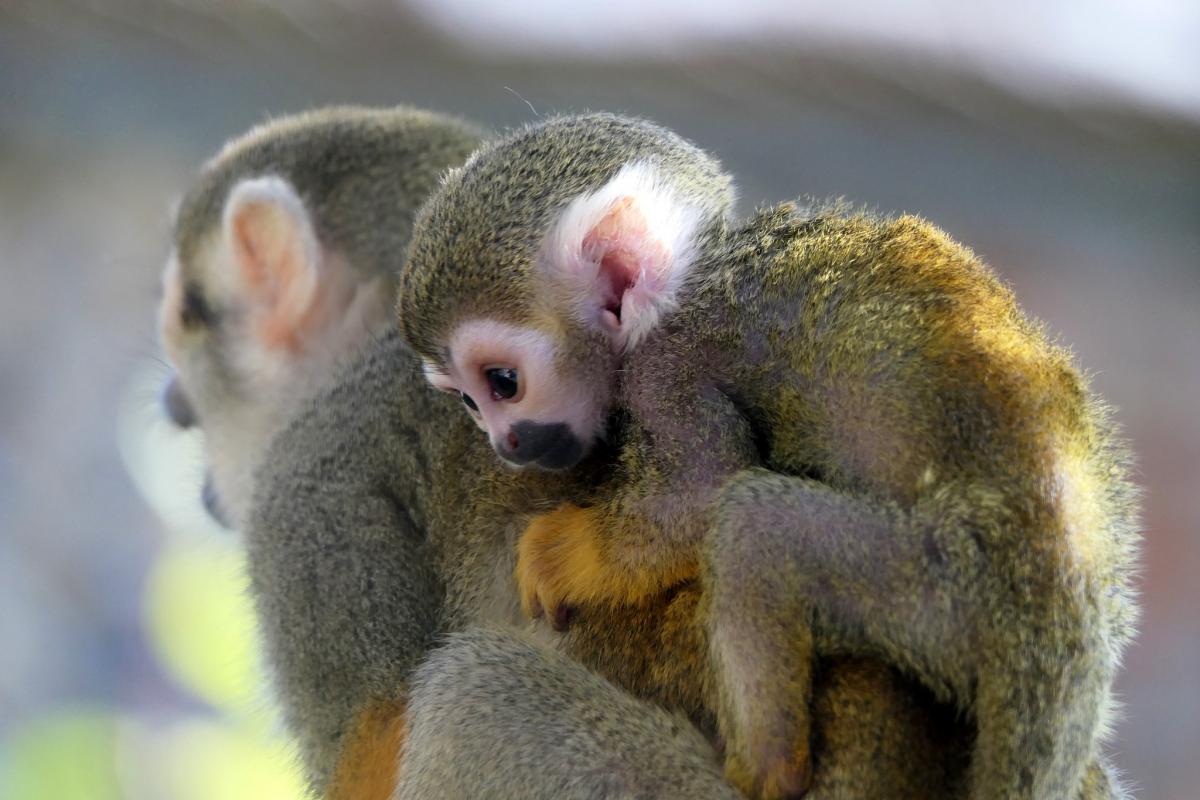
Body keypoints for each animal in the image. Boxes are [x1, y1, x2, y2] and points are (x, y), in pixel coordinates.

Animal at [397, 113, 1139, 799]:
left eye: (503, 384)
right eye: (468, 402)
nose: (507, 445)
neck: (692, 281)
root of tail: (1064, 598)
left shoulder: (668, 368)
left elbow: (699, 488)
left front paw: (564, 555)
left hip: (949, 586)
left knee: (755, 527)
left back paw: (764, 768)